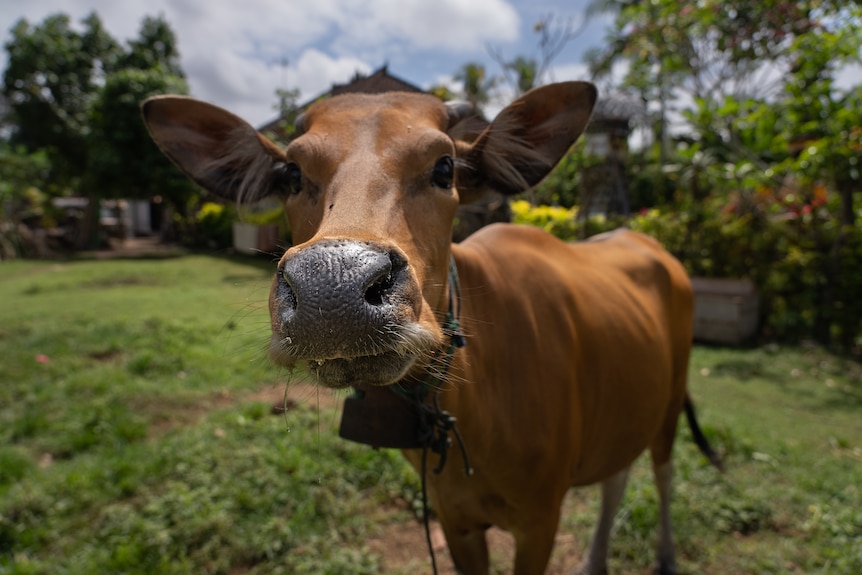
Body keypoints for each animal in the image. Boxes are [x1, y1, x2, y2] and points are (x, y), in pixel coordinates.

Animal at [143, 82, 724, 575]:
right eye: (290, 173)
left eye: (445, 167)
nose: (333, 290)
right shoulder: (455, 522)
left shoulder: (540, 520)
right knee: (616, 476)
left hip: (670, 401)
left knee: (662, 473)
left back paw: (665, 555)